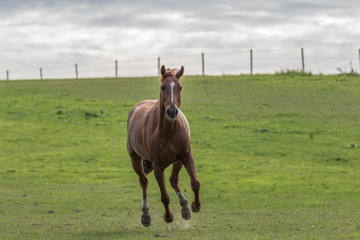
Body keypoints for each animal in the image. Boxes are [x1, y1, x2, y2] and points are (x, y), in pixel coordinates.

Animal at [126, 64, 201, 226]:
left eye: (180, 87)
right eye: (162, 87)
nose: (172, 112)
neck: (168, 132)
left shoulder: (186, 156)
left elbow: (195, 183)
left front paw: (195, 206)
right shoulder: (157, 166)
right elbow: (164, 196)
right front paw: (168, 217)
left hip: (177, 161)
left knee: (173, 180)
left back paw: (185, 208)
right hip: (136, 160)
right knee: (143, 182)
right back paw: (146, 215)